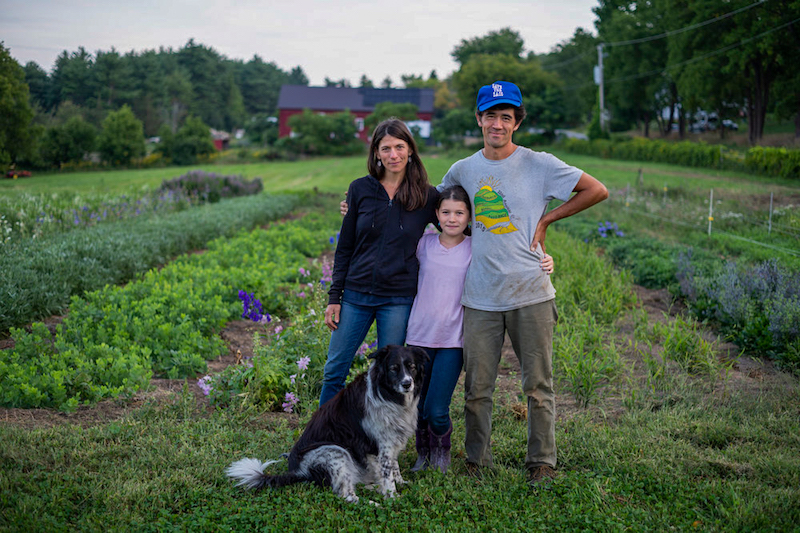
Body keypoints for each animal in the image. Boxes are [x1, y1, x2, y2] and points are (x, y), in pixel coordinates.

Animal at [225, 344, 428, 502]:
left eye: (412, 367)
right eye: (394, 368)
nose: (407, 384)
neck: (388, 394)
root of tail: (297, 472)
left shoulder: (392, 439)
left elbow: (394, 466)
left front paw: (400, 483)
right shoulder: (381, 445)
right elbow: (387, 473)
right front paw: (392, 497)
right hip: (336, 452)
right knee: (346, 495)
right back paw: (373, 502)